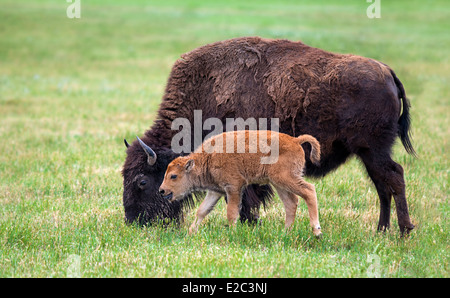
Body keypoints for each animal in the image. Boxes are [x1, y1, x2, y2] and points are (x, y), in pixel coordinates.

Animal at [160, 130, 322, 237]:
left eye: (173, 176)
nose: (162, 191)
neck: (208, 157)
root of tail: (295, 140)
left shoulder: (233, 188)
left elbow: (231, 212)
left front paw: (232, 233)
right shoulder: (215, 191)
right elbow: (202, 211)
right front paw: (190, 233)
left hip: (287, 179)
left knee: (309, 191)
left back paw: (317, 231)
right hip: (279, 184)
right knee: (291, 203)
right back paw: (285, 233)